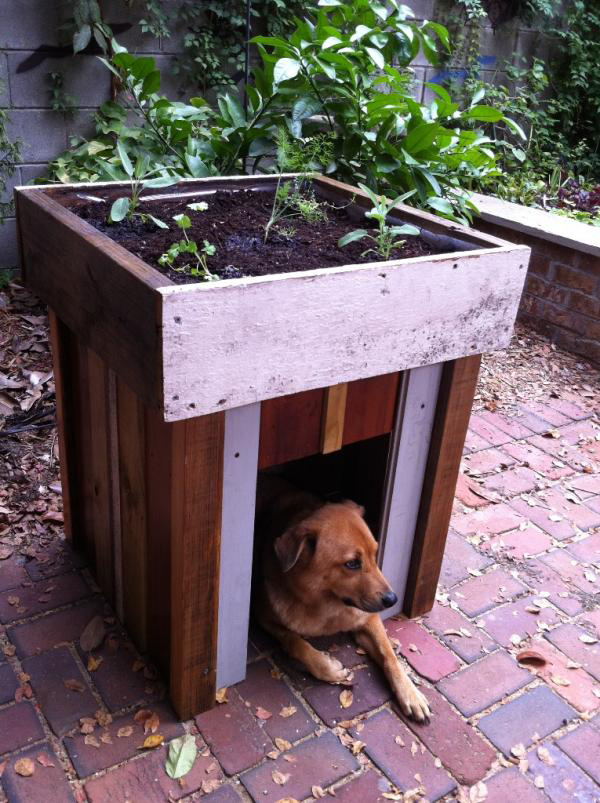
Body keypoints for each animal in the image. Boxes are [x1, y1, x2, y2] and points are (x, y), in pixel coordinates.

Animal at [254, 480, 432, 724]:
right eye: (352, 564)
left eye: (374, 554)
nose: (392, 599)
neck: (328, 606)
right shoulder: (265, 618)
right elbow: (295, 641)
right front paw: (327, 668)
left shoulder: (369, 619)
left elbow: (389, 654)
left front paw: (410, 693)